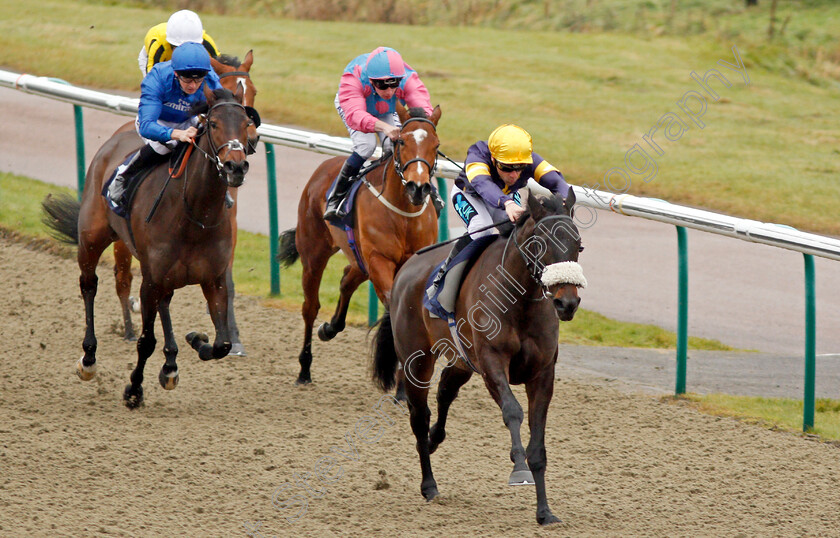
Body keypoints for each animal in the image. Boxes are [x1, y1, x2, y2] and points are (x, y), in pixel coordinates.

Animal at [44, 87, 253, 406]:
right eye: (214, 124)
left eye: (246, 123)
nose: (236, 166)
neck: (195, 214)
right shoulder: (151, 279)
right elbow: (146, 341)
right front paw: (134, 390)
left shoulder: (213, 279)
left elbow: (223, 344)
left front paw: (196, 340)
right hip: (92, 239)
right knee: (89, 285)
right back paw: (89, 359)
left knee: (165, 303)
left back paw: (170, 365)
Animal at [111, 50, 256, 356]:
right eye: (214, 123)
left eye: (254, 93)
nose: (249, 143)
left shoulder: (228, 229)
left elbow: (227, 282)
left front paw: (234, 338)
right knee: (123, 277)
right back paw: (129, 327)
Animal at [278, 103, 442, 386]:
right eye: (401, 141)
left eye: (436, 144)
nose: (418, 188)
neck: (403, 213)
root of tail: (324, 168)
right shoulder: (379, 260)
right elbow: (394, 306)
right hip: (314, 253)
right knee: (310, 307)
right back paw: (304, 368)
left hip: (359, 259)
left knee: (346, 278)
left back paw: (330, 328)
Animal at [370, 189, 588, 524]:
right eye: (540, 243)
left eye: (578, 245)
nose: (567, 303)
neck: (520, 301)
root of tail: (405, 270)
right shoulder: (491, 363)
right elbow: (512, 412)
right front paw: (519, 468)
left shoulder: (542, 374)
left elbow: (538, 444)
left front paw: (544, 512)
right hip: (417, 361)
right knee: (419, 416)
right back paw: (429, 485)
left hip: (462, 360)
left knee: (445, 388)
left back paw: (434, 439)